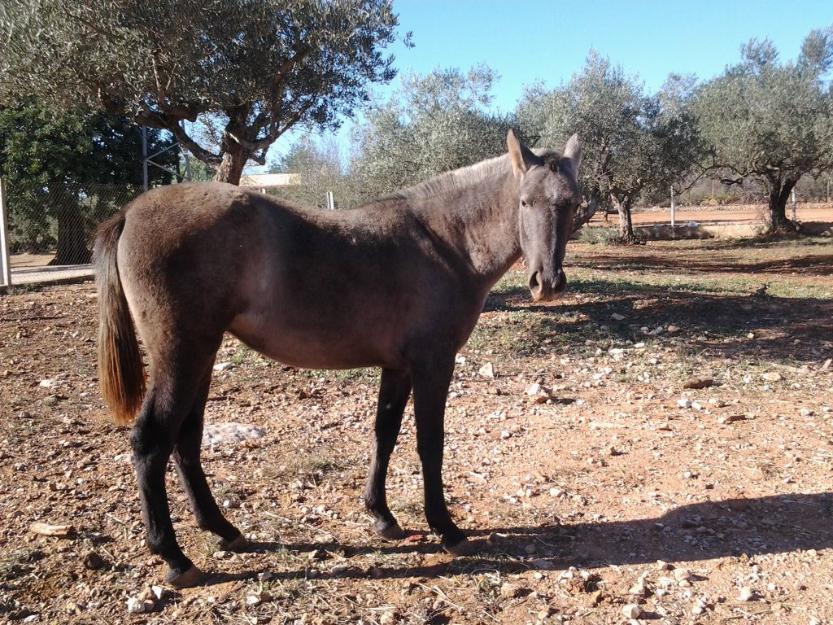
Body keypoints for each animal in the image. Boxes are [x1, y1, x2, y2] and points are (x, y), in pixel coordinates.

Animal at [94, 130, 580, 584]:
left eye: (571, 204)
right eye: (524, 201)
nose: (547, 283)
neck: (444, 242)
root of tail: (131, 212)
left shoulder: (398, 367)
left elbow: (385, 433)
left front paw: (382, 516)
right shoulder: (433, 365)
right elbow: (430, 443)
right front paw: (446, 528)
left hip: (202, 355)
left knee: (186, 441)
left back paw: (223, 530)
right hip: (181, 356)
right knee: (151, 442)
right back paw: (174, 557)